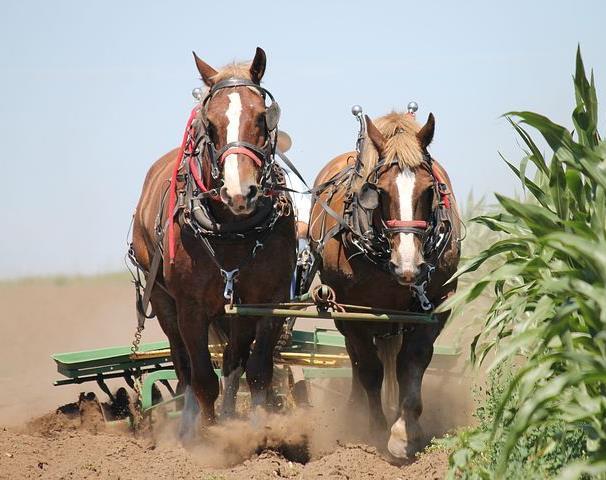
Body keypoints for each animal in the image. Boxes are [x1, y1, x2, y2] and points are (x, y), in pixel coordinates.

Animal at [131, 47, 296, 438]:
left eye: (262, 117)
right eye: (209, 124)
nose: (240, 192)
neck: (232, 229)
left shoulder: (267, 301)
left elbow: (257, 371)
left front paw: (257, 432)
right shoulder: (190, 307)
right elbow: (203, 379)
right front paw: (208, 438)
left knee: (234, 361)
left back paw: (231, 415)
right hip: (162, 298)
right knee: (183, 367)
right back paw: (190, 424)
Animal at [312, 109, 464, 458]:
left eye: (429, 190)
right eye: (378, 191)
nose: (408, 266)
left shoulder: (437, 304)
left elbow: (413, 361)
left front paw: (405, 432)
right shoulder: (351, 308)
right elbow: (370, 369)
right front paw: (376, 429)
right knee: (356, 359)